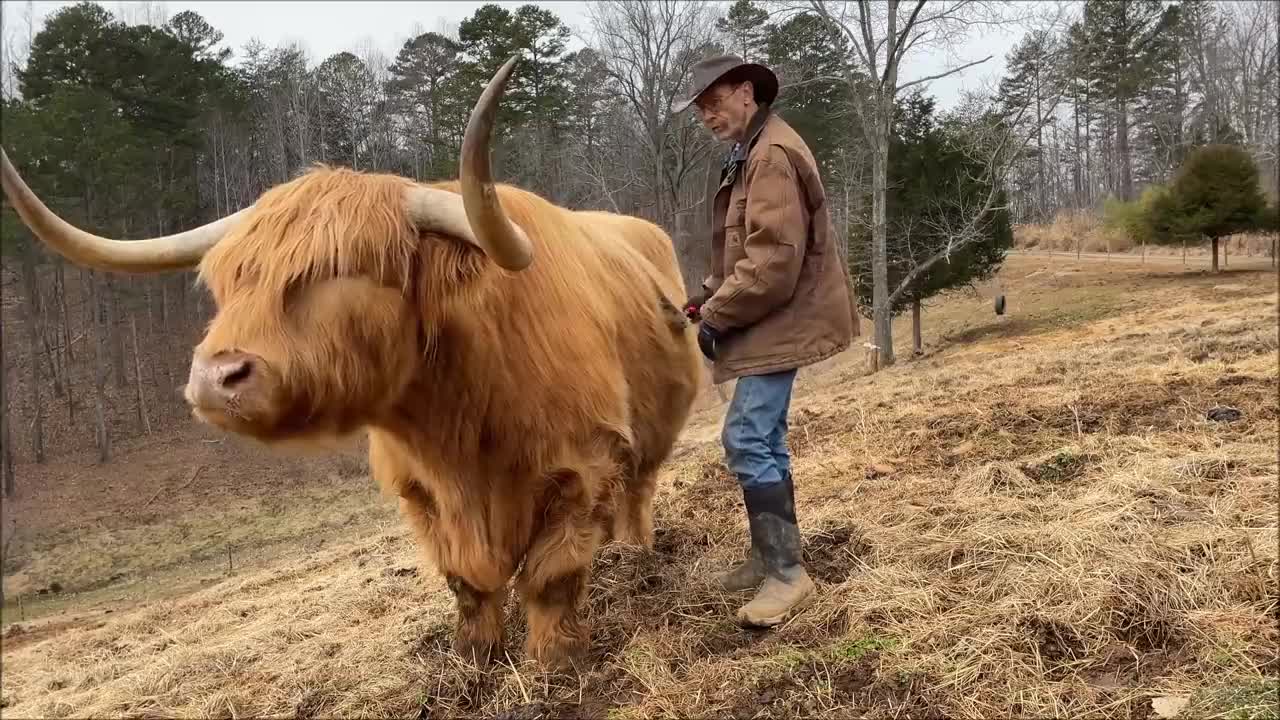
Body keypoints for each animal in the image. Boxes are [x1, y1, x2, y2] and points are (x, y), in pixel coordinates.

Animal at [0, 56, 701, 666]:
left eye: (342, 269)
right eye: (229, 280)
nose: (216, 379)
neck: (460, 427)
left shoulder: (585, 464)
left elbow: (553, 578)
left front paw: (556, 664)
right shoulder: (418, 491)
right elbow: (466, 584)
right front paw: (474, 661)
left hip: (648, 447)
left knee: (638, 499)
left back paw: (638, 560)